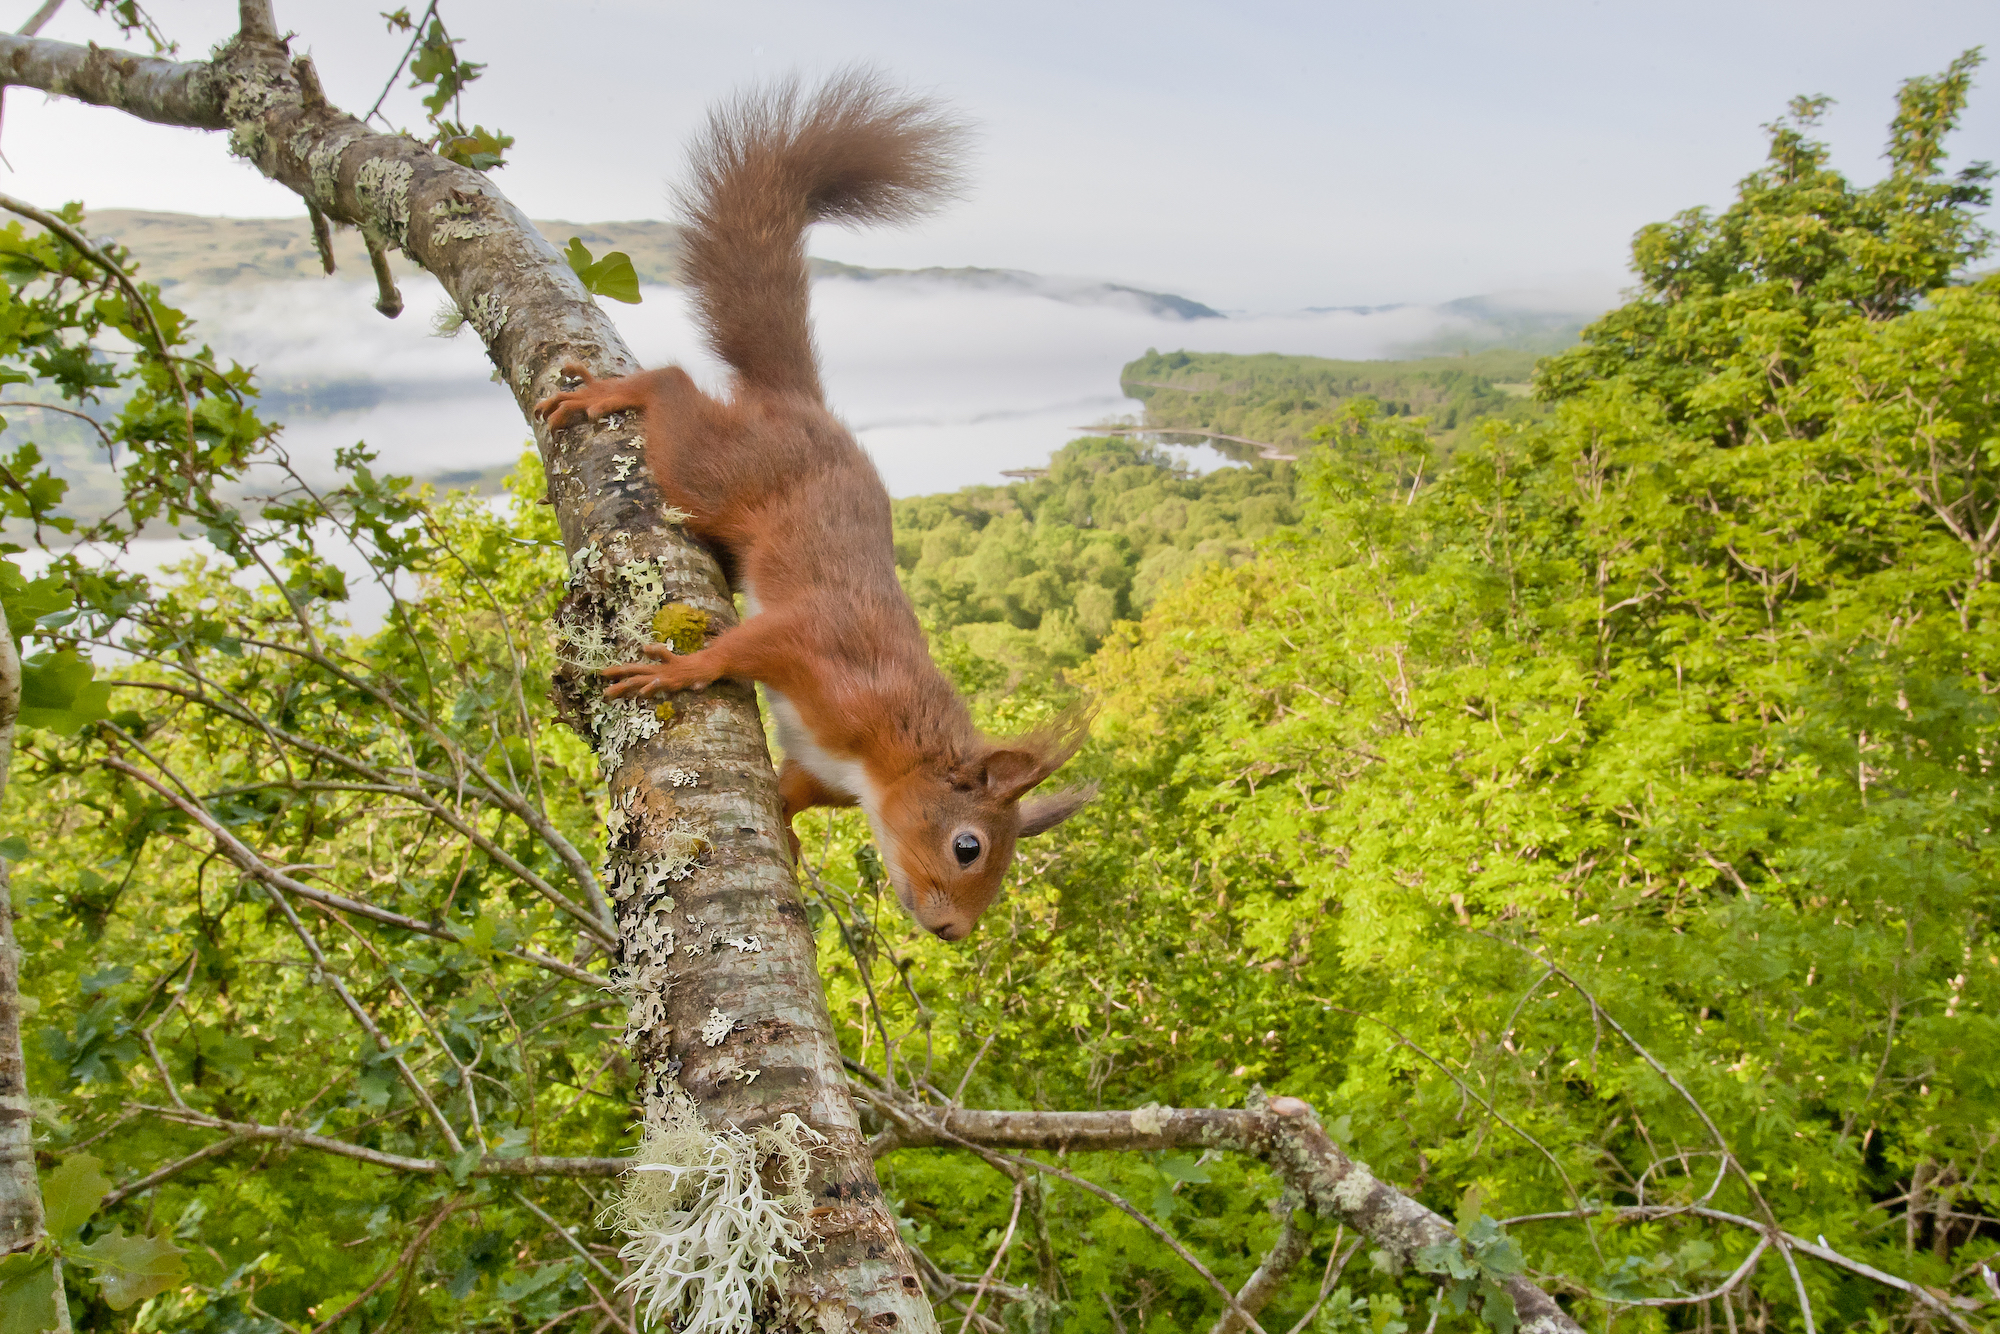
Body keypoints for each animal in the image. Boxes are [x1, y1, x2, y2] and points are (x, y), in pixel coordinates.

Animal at [536, 73, 1096, 944]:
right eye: (969, 846)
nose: (952, 933)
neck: (889, 756)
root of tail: (803, 406)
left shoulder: (816, 766)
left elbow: (792, 794)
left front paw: (791, 840)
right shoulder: (820, 654)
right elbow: (743, 648)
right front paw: (676, 671)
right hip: (721, 471)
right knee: (674, 390)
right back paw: (618, 392)